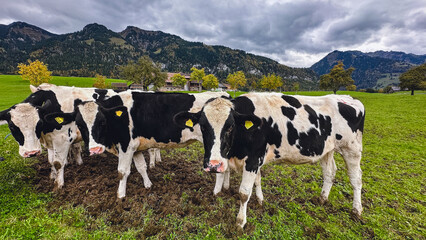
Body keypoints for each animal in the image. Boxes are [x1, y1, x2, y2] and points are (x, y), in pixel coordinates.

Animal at [46, 91, 230, 198]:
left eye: (102, 122)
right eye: (80, 124)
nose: (94, 149)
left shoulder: (126, 146)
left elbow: (122, 172)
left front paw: (120, 196)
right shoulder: (135, 148)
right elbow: (141, 167)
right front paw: (148, 185)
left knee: (219, 167)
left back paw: (216, 192)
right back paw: (226, 188)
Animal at [175, 92, 364, 229]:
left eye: (230, 126)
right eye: (203, 126)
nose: (213, 165)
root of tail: (348, 98)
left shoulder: (253, 159)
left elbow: (244, 192)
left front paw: (240, 222)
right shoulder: (256, 159)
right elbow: (257, 181)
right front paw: (260, 200)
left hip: (352, 149)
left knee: (356, 179)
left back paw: (357, 210)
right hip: (327, 149)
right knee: (330, 172)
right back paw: (323, 199)